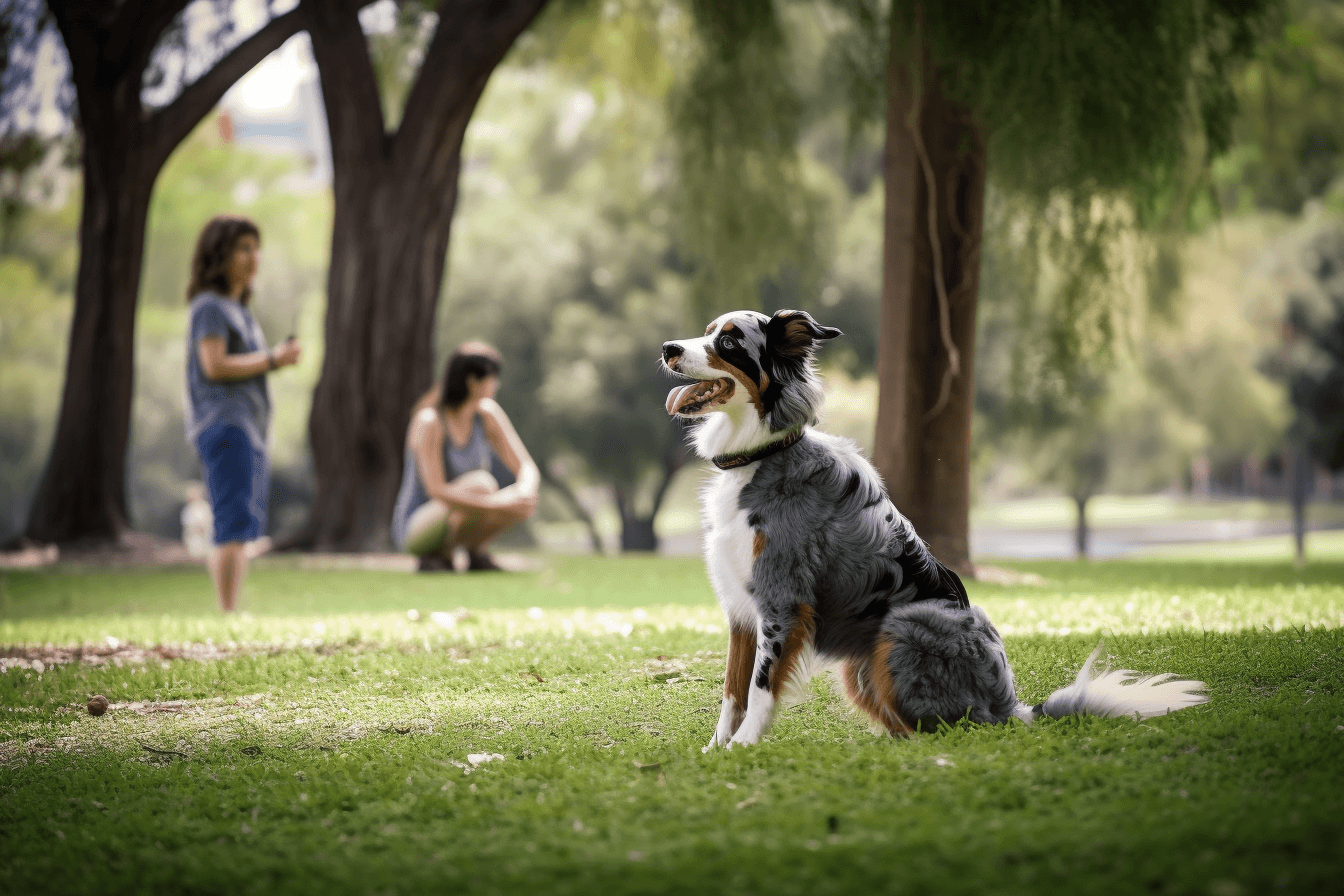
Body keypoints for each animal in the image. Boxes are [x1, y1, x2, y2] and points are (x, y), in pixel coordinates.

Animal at [661, 308, 1209, 752]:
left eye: (729, 342)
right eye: (706, 331)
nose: (667, 348)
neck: (762, 452)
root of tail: (1012, 705)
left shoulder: (781, 600)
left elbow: (759, 686)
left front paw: (742, 748)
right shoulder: (742, 608)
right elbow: (731, 689)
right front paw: (716, 749)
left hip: (902, 627)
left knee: (957, 728)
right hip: (862, 665)